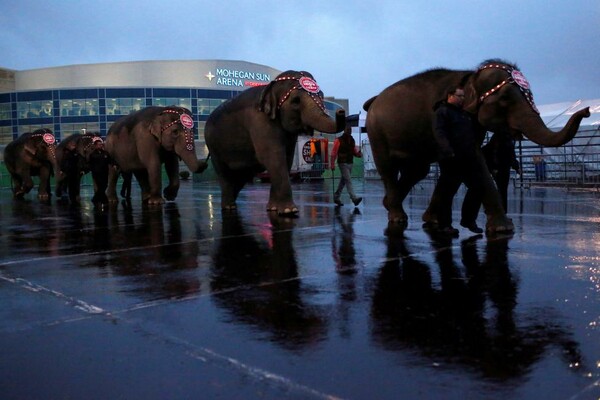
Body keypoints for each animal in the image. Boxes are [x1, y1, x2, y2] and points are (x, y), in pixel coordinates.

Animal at [206, 70, 346, 217]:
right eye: (296, 101)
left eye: (322, 96)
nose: (341, 111)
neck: (270, 86)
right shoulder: (259, 121)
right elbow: (273, 156)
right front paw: (289, 211)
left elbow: (287, 158)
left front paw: (273, 209)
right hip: (213, 147)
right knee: (224, 172)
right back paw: (229, 206)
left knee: (242, 175)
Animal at [360, 59, 592, 234]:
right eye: (505, 98)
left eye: (531, 95)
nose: (587, 110)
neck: (469, 77)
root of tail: (372, 102)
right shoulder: (440, 123)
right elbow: (470, 158)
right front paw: (503, 229)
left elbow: (454, 168)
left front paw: (433, 220)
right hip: (376, 133)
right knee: (388, 169)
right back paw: (398, 218)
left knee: (418, 170)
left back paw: (388, 204)